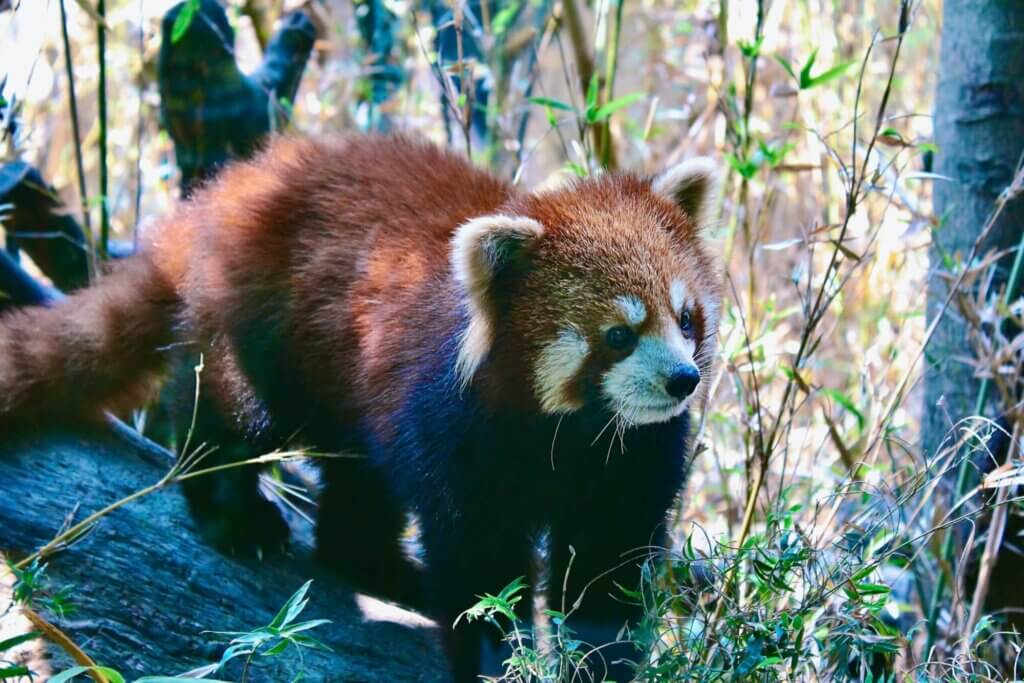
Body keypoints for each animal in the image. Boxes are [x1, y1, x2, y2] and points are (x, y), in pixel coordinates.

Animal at [0, 135, 724, 683]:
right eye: (619, 335)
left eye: (686, 318)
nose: (682, 380)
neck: (570, 431)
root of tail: (225, 192)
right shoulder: (461, 437)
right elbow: (479, 566)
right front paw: (493, 654)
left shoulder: (630, 461)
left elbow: (609, 573)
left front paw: (601, 658)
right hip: (260, 332)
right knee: (229, 416)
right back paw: (234, 513)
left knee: (360, 485)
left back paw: (381, 568)